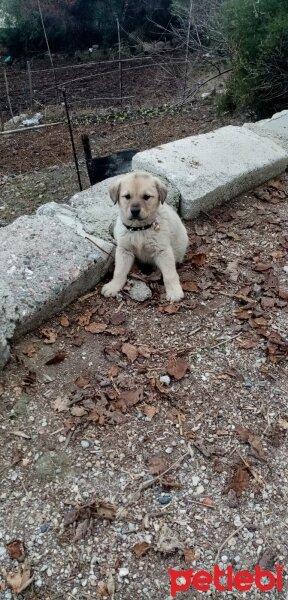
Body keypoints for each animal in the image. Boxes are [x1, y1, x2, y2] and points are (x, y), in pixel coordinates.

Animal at [102, 171, 189, 302]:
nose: (135, 211)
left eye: (146, 197)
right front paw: (113, 286)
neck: (140, 229)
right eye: (127, 196)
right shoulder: (124, 250)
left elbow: (170, 274)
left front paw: (174, 291)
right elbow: (119, 272)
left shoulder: (162, 251)